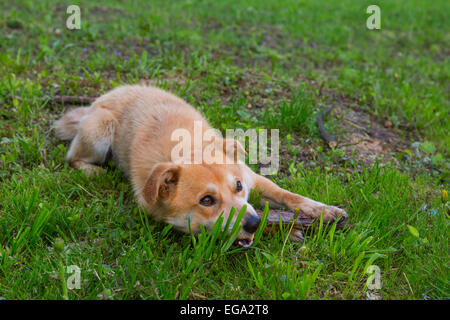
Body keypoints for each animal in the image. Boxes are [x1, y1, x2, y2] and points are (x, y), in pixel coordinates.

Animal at [53, 85, 348, 248]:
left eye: (238, 186)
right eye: (206, 200)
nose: (253, 223)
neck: (188, 149)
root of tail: (104, 96)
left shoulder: (253, 179)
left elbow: (288, 195)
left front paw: (322, 211)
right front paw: (287, 228)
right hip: (99, 130)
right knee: (72, 158)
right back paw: (94, 171)